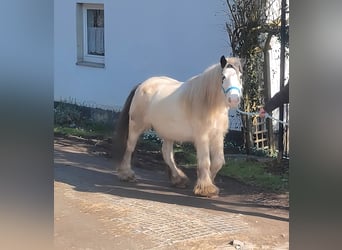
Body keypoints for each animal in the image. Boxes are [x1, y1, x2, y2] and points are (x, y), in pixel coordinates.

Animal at [113, 56, 243, 197]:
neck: (208, 103)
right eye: (223, 77)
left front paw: (208, 182)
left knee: (167, 154)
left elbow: (218, 161)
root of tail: (141, 85)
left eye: (240, 77)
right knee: (129, 148)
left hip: (168, 133)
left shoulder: (218, 136)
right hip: (136, 127)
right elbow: (205, 162)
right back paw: (126, 174)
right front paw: (206, 188)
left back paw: (178, 179)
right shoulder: (202, 137)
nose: (234, 99)